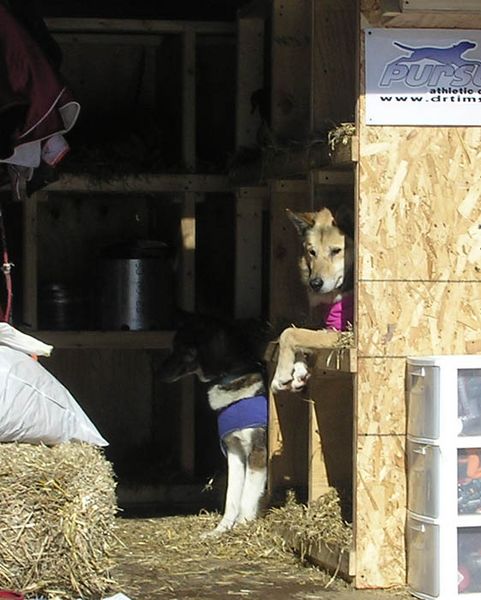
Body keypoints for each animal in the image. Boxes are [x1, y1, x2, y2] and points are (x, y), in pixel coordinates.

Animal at [158, 312, 268, 536]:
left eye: (182, 348)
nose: (159, 372)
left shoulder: (257, 451)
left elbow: (247, 496)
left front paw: (241, 527)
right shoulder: (234, 451)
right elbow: (232, 496)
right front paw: (221, 530)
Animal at [270, 206, 352, 394]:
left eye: (336, 251)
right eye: (312, 252)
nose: (314, 283)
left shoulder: (342, 333)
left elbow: (290, 333)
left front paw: (281, 374)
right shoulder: (324, 325)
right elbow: (298, 330)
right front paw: (299, 370)